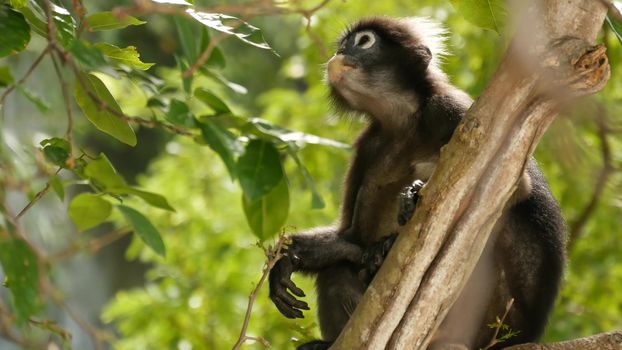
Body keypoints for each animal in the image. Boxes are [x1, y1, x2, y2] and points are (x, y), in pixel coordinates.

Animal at [270, 17, 572, 350]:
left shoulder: (451, 109)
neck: (405, 124)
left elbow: (515, 187)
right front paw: (287, 258)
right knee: (336, 270)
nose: (340, 53)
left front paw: (412, 196)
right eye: (343, 44)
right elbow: (352, 236)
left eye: (363, 41)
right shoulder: (367, 145)